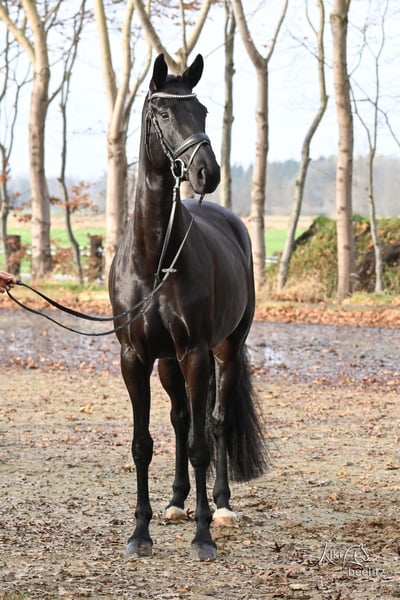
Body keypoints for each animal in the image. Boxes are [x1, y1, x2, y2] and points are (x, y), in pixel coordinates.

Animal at [109, 53, 267, 561]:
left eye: (202, 111)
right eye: (162, 113)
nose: (207, 174)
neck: (155, 259)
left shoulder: (196, 353)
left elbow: (201, 443)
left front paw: (204, 536)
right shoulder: (136, 359)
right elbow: (143, 443)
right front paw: (140, 533)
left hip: (225, 351)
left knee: (214, 422)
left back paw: (221, 506)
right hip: (167, 363)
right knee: (180, 420)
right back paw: (177, 501)